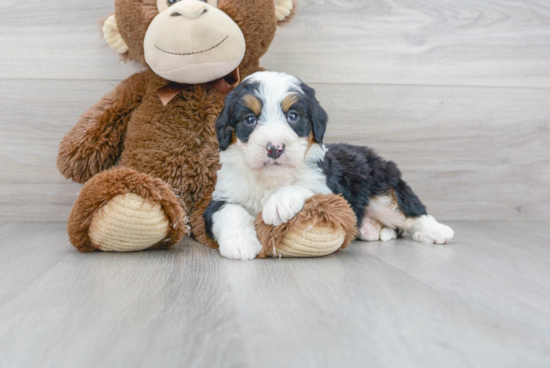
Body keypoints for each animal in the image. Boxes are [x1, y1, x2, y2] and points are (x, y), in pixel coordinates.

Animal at [205, 72, 454, 260]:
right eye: (250, 119)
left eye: (293, 116)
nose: (274, 148)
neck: (271, 177)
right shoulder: (220, 197)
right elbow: (230, 211)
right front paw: (240, 243)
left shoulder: (330, 190)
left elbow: (305, 188)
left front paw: (279, 203)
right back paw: (369, 229)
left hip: (383, 190)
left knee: (411, 213)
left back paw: (437, 231)